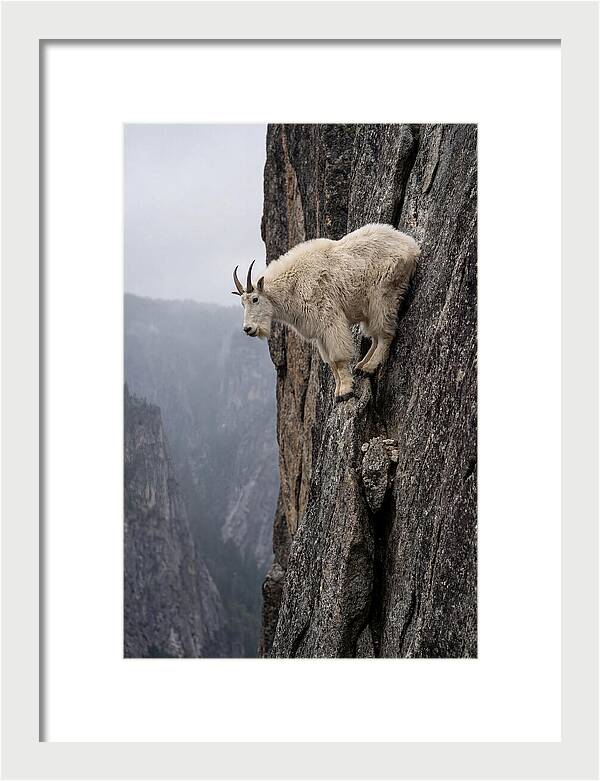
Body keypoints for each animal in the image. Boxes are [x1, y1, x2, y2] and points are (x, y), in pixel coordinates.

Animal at [232, 223, 420, 401]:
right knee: (375, 336)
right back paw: (361, 366)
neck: (293, 286)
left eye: (255, 299)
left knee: (385, 333)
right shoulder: (319, 333)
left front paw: (345, 391)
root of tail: (411, 245)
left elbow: (338, 358)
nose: (248, 329)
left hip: (383, 295)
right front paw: (337, 391)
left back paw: (369, 367)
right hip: (369, 307)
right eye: (242, 303)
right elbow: (330, 363)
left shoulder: (329, 320)